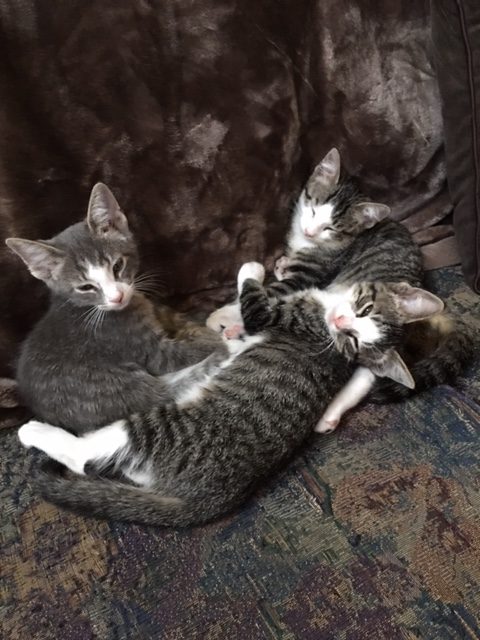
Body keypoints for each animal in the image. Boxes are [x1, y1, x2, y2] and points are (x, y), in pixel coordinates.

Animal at [6, 185, 225, 436]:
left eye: (118, 266)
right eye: (86, 287)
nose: (117, 297)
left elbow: (167, 314)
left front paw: (190, 322)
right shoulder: (145, 349)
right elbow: (184, 353)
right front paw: (211, 338)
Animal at [16, 262, 442, 528]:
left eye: (353, 335)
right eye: (362, 310)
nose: (340, 321)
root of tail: (210, 496)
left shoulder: (270, 315)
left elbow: (252, 296)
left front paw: (253, 269)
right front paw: (231, 325)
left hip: (160, 424)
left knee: (87, 457)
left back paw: (36, 432)